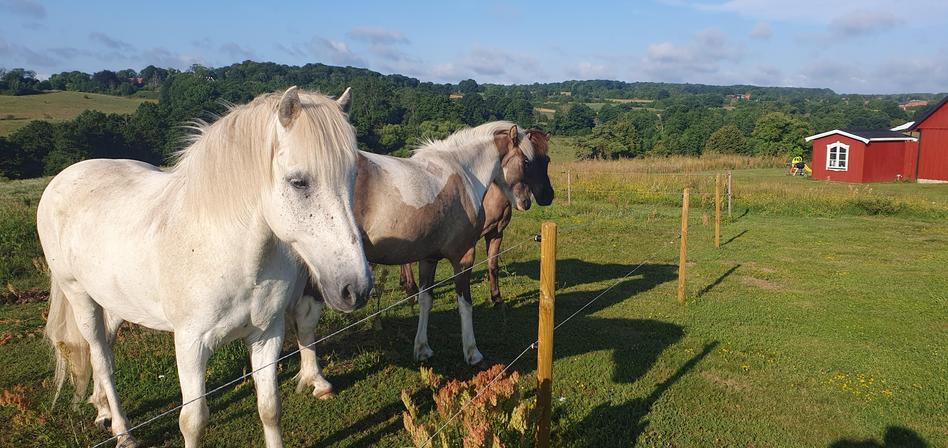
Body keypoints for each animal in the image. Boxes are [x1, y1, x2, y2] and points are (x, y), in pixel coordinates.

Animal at [40, 86, 374, 446]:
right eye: (299, 182)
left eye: (353, 176)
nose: (355, 289)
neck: (229, 254)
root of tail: (64, 177)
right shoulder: (191, 345)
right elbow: (194, 421)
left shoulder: (267, 335)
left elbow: (270, 408)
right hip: (80, 298)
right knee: (100, 356)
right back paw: (122, 431)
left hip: (115, 302)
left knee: (105, 348)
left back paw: (102, 410)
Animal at [290, 121, 540, 398]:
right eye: (526, 161)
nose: (526, 202)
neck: (462, 174)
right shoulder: (464, 256)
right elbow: (465, 304)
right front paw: (473, 353)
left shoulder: (428, 259)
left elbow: (425, 300)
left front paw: (422, 349)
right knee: (305, 317)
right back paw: (318, 381)